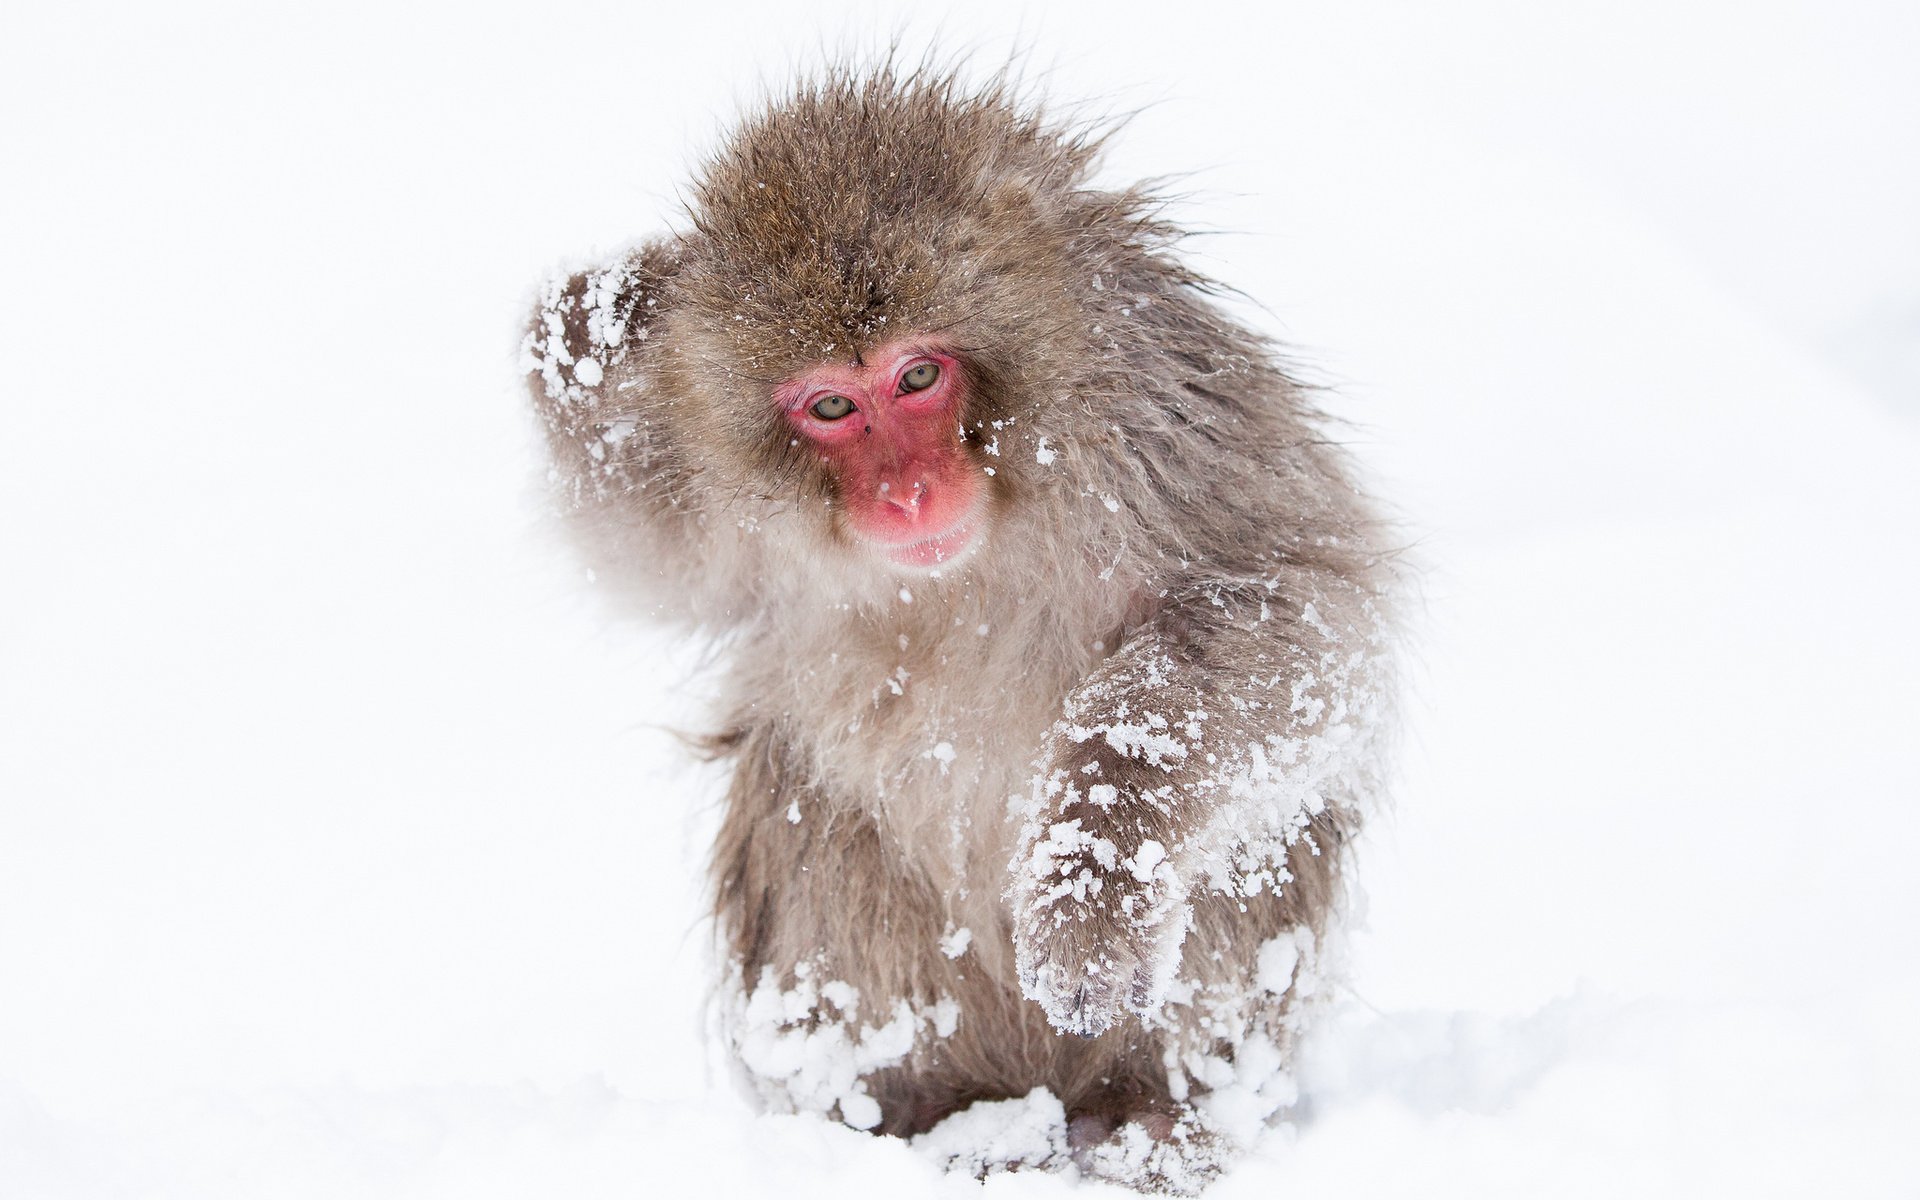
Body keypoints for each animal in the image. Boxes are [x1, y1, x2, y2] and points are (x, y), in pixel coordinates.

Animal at [526, 70, 1397, 1190]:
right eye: (831, 406)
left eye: (917, 377)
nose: (907, 493)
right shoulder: (709, 494)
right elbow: (642, 562)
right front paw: (587, 330)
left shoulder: (1162, 416)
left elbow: (1301, 612)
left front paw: (1094, 870)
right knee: (817, 821)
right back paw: (930, 1123)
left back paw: (1164, 1119)